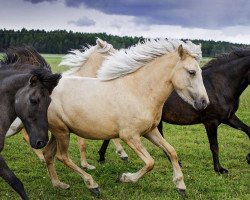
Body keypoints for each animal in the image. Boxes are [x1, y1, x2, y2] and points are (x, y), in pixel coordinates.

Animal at [43, 39, 209, 195]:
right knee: (62, 157)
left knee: (48, 154)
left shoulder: (150, 131)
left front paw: (180, 185)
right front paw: (124, 177)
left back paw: (58, 185)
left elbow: (171, 151)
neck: (138, 91)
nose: (204, 102)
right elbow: (150, 162)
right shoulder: (129, 136)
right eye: (192, 72)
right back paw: (92, 184)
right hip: (62, 132)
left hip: (59, 133)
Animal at [98, 48, 249, 173]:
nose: (203, 102)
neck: (220, 84)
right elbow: (214, 146)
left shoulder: (229, 117)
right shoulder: (211, 122)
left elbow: (248, 130)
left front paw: (248, 158)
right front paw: (219, 169)